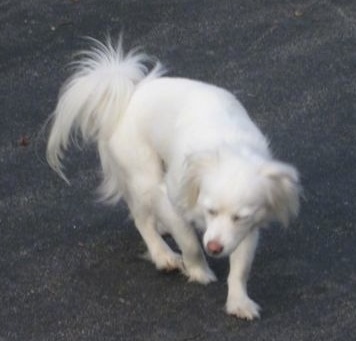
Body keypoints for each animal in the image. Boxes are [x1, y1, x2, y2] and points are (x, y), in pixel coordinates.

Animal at [46, 38, 298, 320]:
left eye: (240, 217)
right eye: (210, 211)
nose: (214, 248)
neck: (231, 149)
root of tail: (131, 93)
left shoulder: (246, 230)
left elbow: (240, 268)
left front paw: (239, 302)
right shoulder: (170, 199)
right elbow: (189, 242)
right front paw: (199, 272)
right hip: (143, 176)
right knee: (142, 220)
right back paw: (163, 255)